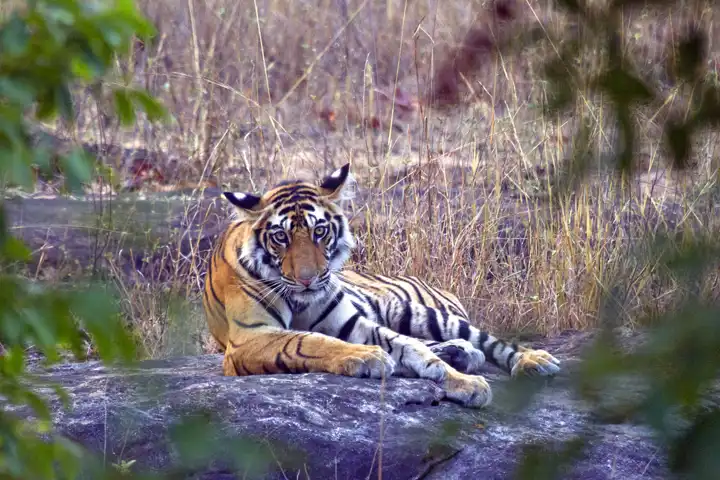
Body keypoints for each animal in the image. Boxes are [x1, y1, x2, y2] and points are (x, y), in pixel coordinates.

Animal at [202, 163, 560, 408]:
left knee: (486, 341)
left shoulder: (353, 322)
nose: (308, 279)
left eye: (319, 231)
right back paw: (460, 353)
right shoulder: (249, 337)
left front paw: (465, 383)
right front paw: (368, 358)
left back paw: (532, 361)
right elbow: (309, 341)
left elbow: (408, 347)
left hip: (415, 310)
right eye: (280, 237)